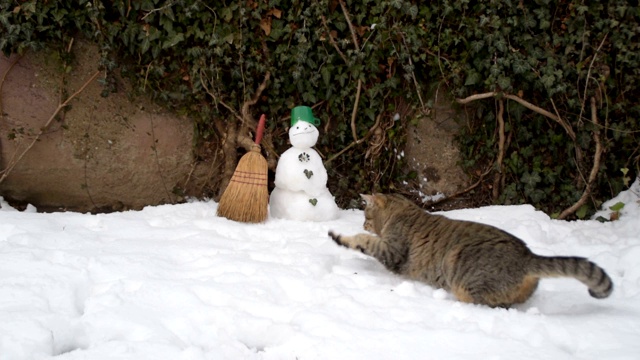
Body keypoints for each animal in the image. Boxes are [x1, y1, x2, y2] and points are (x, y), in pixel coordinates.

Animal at [330, 193, 616, 308]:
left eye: (366, 215)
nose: (362, 222)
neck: (403, 211)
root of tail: (527, 256)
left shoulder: (393, 251)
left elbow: (365, 241)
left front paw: (340, 236)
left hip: (463, 274)